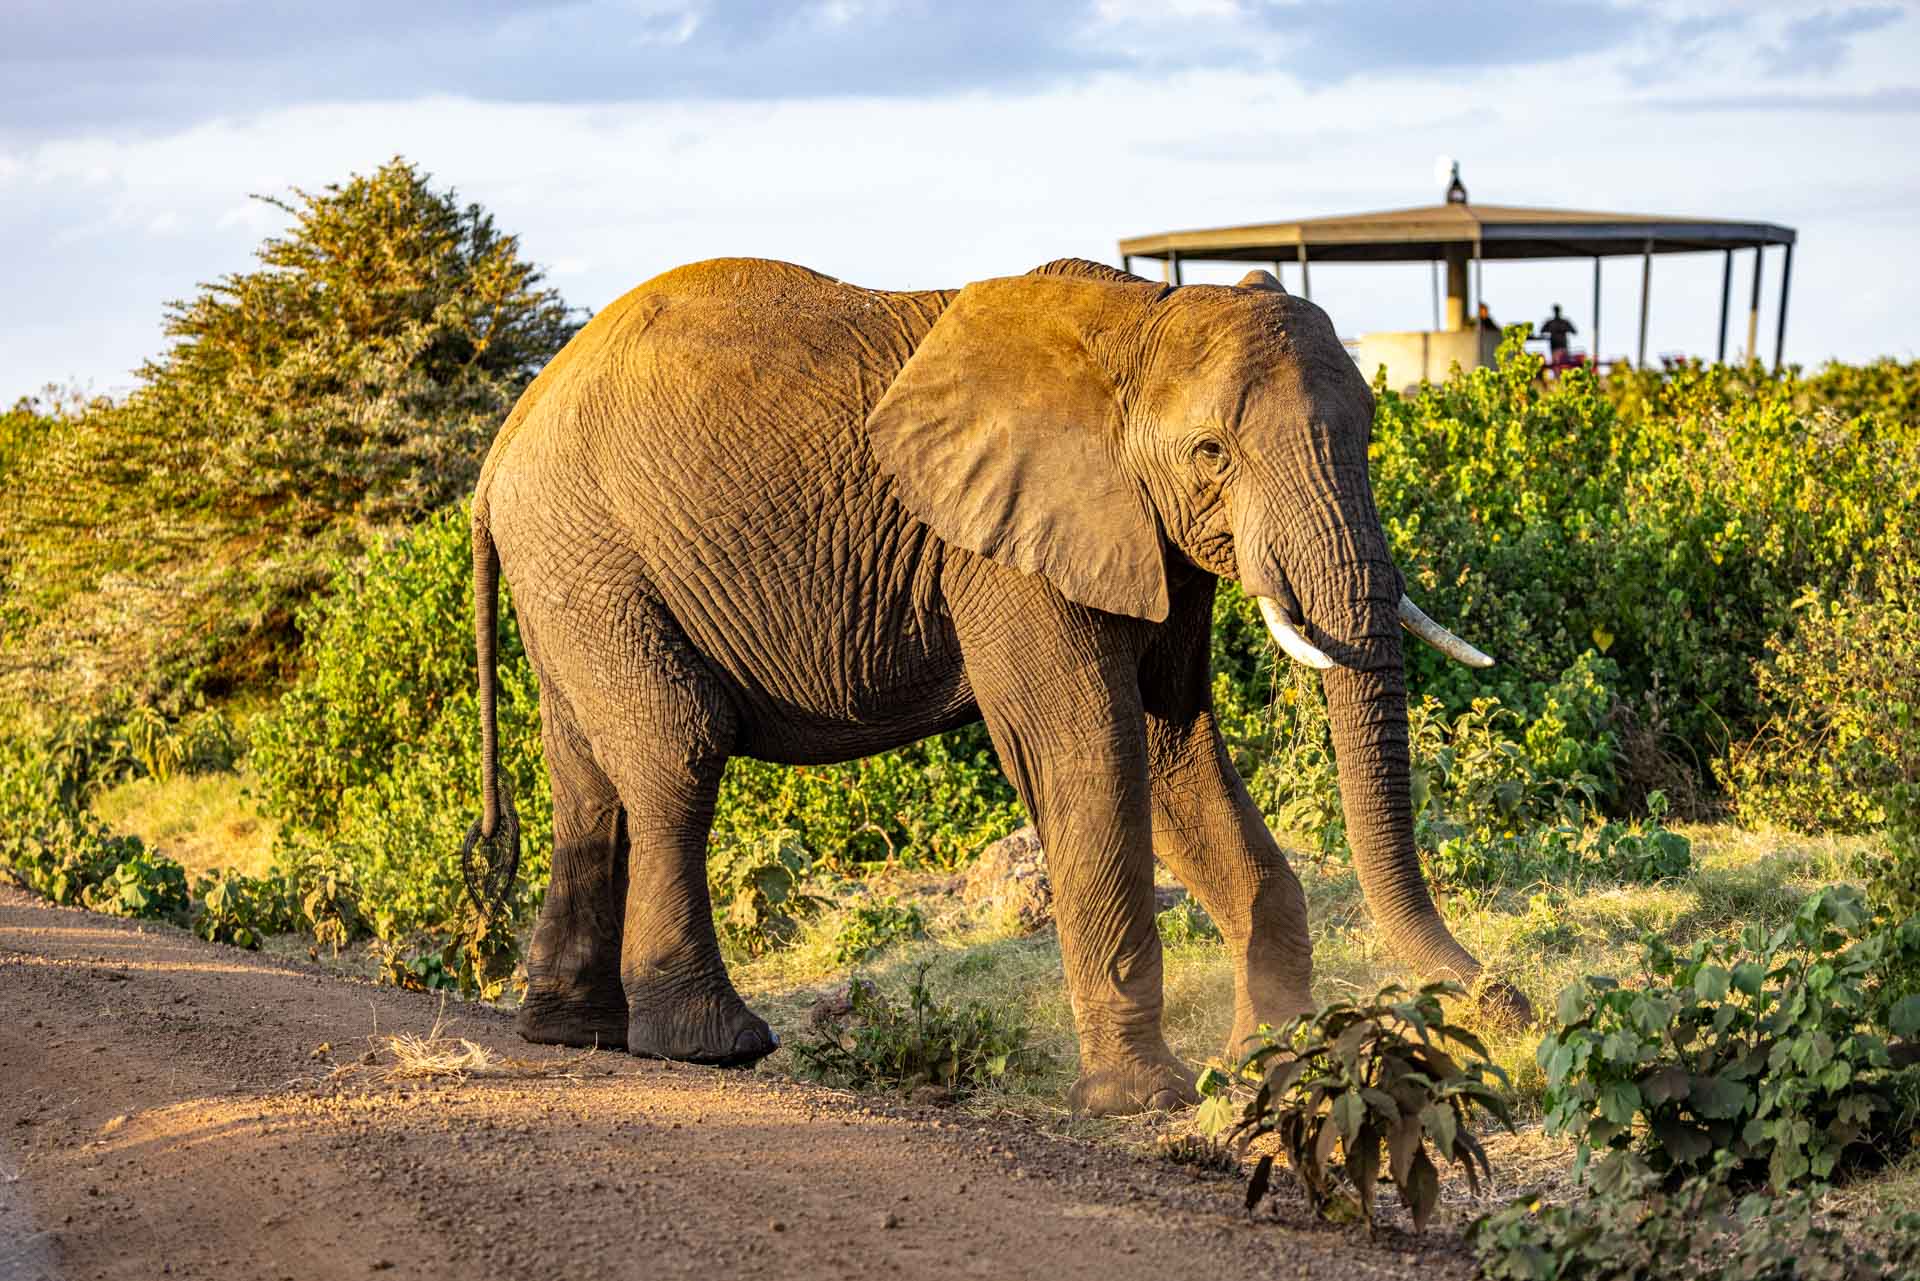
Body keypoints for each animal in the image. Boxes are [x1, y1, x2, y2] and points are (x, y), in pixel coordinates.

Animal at [464, 253, 1528, 1113]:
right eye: (1212, 455)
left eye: (1368, 434)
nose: (1505, 1000)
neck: (1136, 320)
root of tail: (498, 448)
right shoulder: (1004, 548)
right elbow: (1087, 745)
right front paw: (1144, 1099)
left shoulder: (1149, 538)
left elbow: (1176, 751)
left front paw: (1267, 1059)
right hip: (593, 549)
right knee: (676, 752)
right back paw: (712, 1047)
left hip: (568, 568)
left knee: (588, 784)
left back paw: (573, 1031)